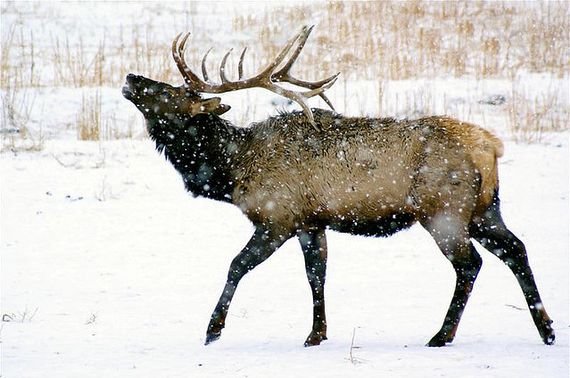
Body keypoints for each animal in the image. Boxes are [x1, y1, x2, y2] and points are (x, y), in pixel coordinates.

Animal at [122, 25, 552, 346]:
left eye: (174, 92)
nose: (130, 77)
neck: (231, 170)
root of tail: (490, 147)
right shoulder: (311, 221)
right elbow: (317, 274)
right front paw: (317, 334)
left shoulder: (277, 217)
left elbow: (236, 265)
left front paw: (213, 329)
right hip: (485, 208)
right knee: (516, 248)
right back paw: (545, 329)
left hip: (444, 211)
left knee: (470, 264)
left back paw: (441, 335)